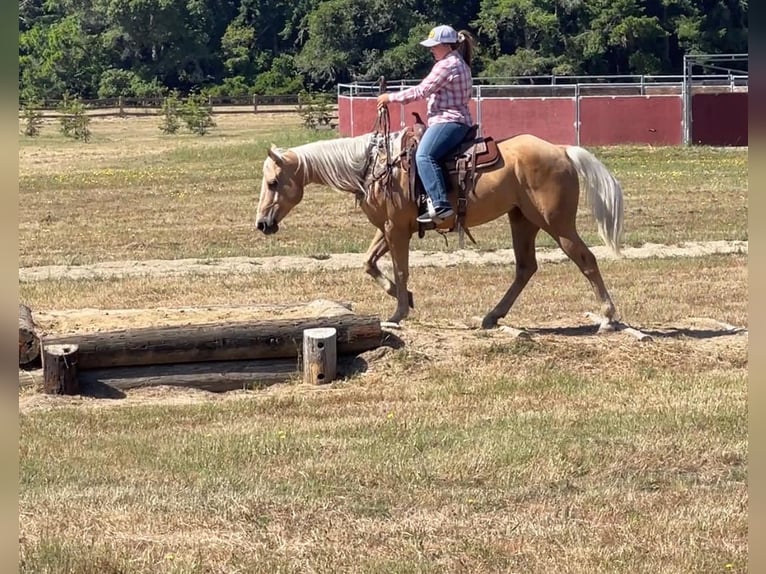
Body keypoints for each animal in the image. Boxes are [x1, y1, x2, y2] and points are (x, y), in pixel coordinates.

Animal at [255, 120, 624, 329]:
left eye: (273, 183)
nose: (261, 224)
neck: (375, 166)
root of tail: (562, 150)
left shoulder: (396, 229)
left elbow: (401, 269)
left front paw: (398, 314)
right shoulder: (388, 227)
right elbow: (369, 263)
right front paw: (406, 299)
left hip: (557, 223)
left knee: (586, 259)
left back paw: (607, 317)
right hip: (523, 219)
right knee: (525, 268)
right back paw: (492, 316)